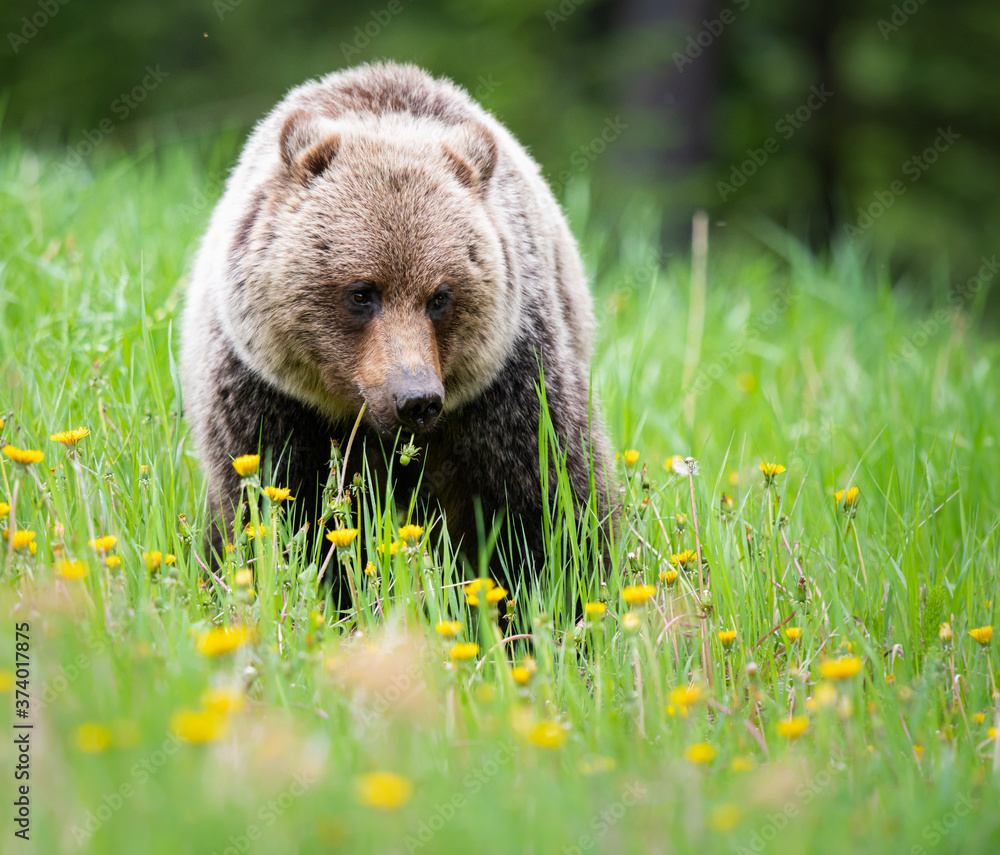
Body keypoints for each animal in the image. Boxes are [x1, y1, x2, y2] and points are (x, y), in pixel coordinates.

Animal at [181, 62, 613, 595]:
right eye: (362, 292)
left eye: (440, 296)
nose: (417, 399)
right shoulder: (266, 397)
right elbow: (280, 508)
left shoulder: (506, 391)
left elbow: (547, 505)